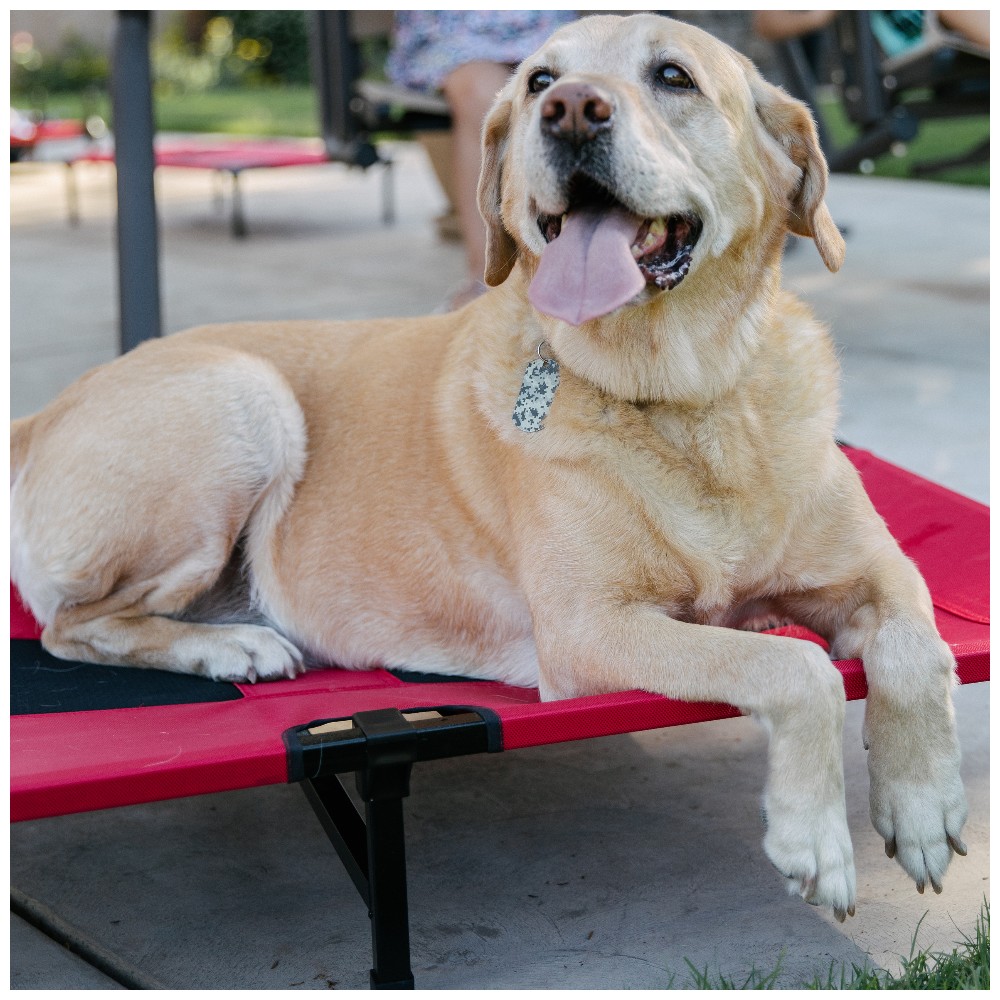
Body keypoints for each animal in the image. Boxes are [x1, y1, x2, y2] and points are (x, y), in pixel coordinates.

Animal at [7, 15, 964, 920]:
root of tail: (43, 411)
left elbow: (921, 648)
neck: (689, 398)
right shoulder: (589, 631)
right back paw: (230, 646)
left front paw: (922, 805)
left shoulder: (880, 572)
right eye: (539, 78)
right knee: (73, 627)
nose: (569, 108)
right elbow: (793, 669)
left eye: (673, 75)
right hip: (242, 398)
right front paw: (816, 836)